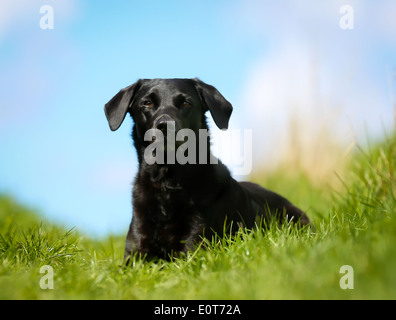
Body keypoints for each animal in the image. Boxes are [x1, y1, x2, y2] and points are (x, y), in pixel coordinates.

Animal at [105, 78, 310, 262]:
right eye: (147, 103)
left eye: (186, 103)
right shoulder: (135, 252)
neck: (168, 183)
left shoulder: (195, 246)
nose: (165, 126)